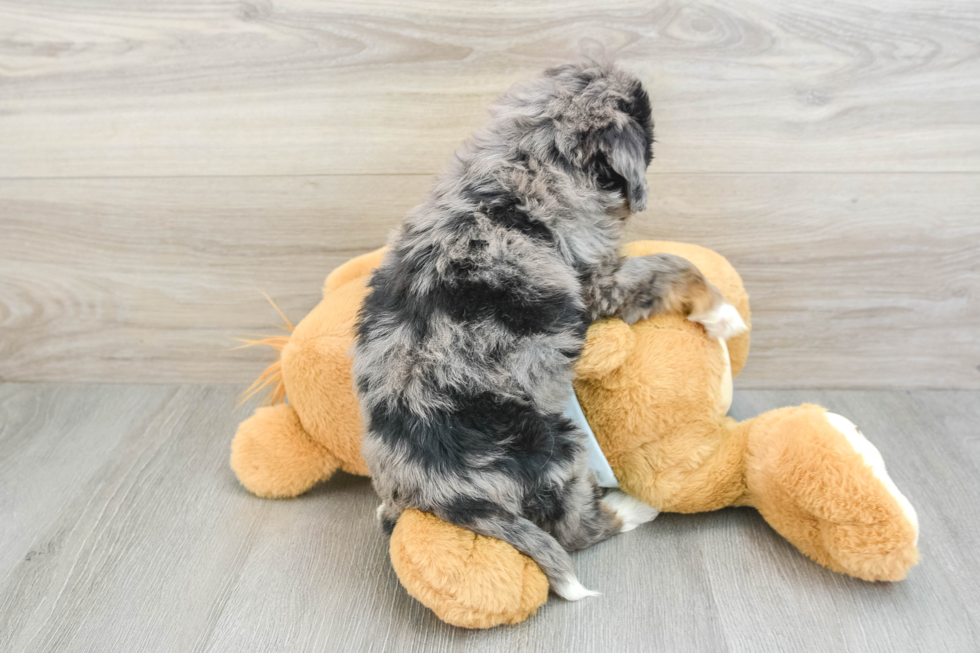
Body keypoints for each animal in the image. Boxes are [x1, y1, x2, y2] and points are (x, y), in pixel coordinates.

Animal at [352, 61, 744, 596]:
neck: (527, 156)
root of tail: (430, 493)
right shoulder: (600, 284)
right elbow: (675, 265)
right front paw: (722, 316)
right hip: (554, 444)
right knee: (576, 530)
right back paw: (632, 508)